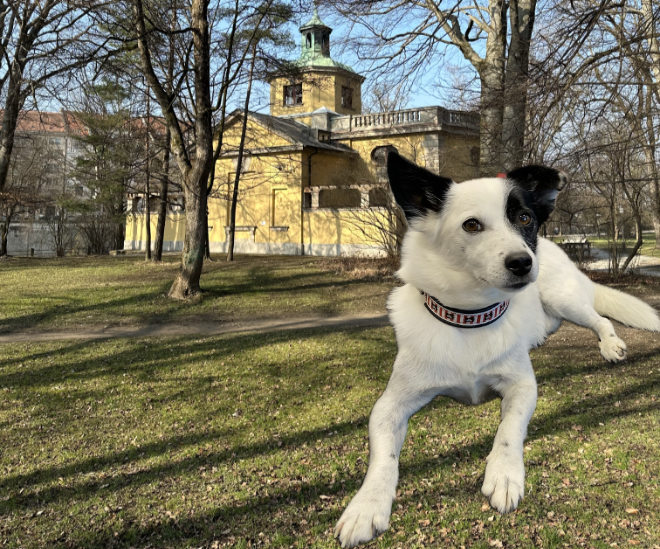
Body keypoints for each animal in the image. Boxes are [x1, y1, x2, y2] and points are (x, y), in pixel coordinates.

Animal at [336, 152, 660, 544]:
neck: (471, 317)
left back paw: (611, 345)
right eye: (472, 225)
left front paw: (504, 475)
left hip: (563, 296)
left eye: (524, 218)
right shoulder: (390, 404)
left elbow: (509, 430)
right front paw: (366, 505)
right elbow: (383, 458)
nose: (522, 262)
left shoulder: (522, 386)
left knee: (600, 319)